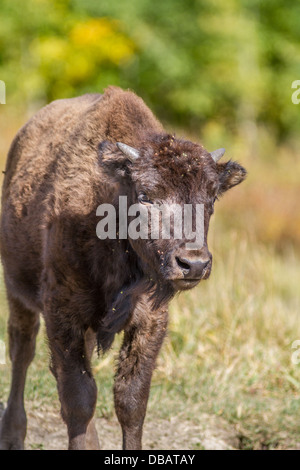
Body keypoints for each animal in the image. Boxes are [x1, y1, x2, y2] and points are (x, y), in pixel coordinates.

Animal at [0, 86, 246, 450]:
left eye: (211, 200)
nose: (193, 263)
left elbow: (131, 401)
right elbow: (79, 397)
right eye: (145, 195)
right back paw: (13, 433)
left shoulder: (149, 320)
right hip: (17, 291)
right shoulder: (62, 312)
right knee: (22, 350)